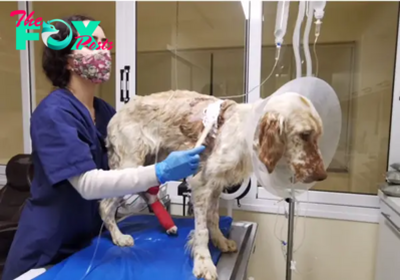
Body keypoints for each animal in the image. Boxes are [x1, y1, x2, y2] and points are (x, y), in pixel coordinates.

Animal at [98, 90, 326, 280]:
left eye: (317, 135)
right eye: (304, 135)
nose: (322, 175)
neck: (243, 130)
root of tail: (116, 116)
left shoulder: (216, 185)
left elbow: (214, 219)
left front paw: (221, 241)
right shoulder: (201, 184)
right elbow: (202, 231)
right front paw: (204, 263)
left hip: (152, 162)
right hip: (130, 165)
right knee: (105, 205)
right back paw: (119, 237)